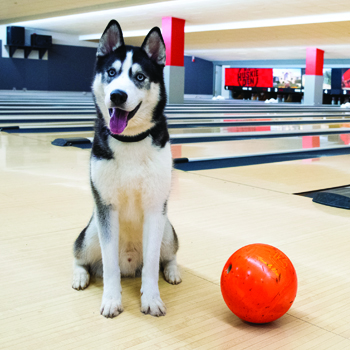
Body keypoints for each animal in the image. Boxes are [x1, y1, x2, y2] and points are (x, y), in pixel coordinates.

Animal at [71, 20, 180, 318]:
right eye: (111, 72)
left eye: (139, 76)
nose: (117, 96)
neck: (130, 140)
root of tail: (130, 266)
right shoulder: (106, 208)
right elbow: (109, 266)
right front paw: (111, 299)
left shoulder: (156, 208)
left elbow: (153, 264)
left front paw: (151, 299)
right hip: (93, 230)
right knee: (81, 255)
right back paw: (80, 275)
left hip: (167, 229)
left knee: (167, 256)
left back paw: (173, 271)